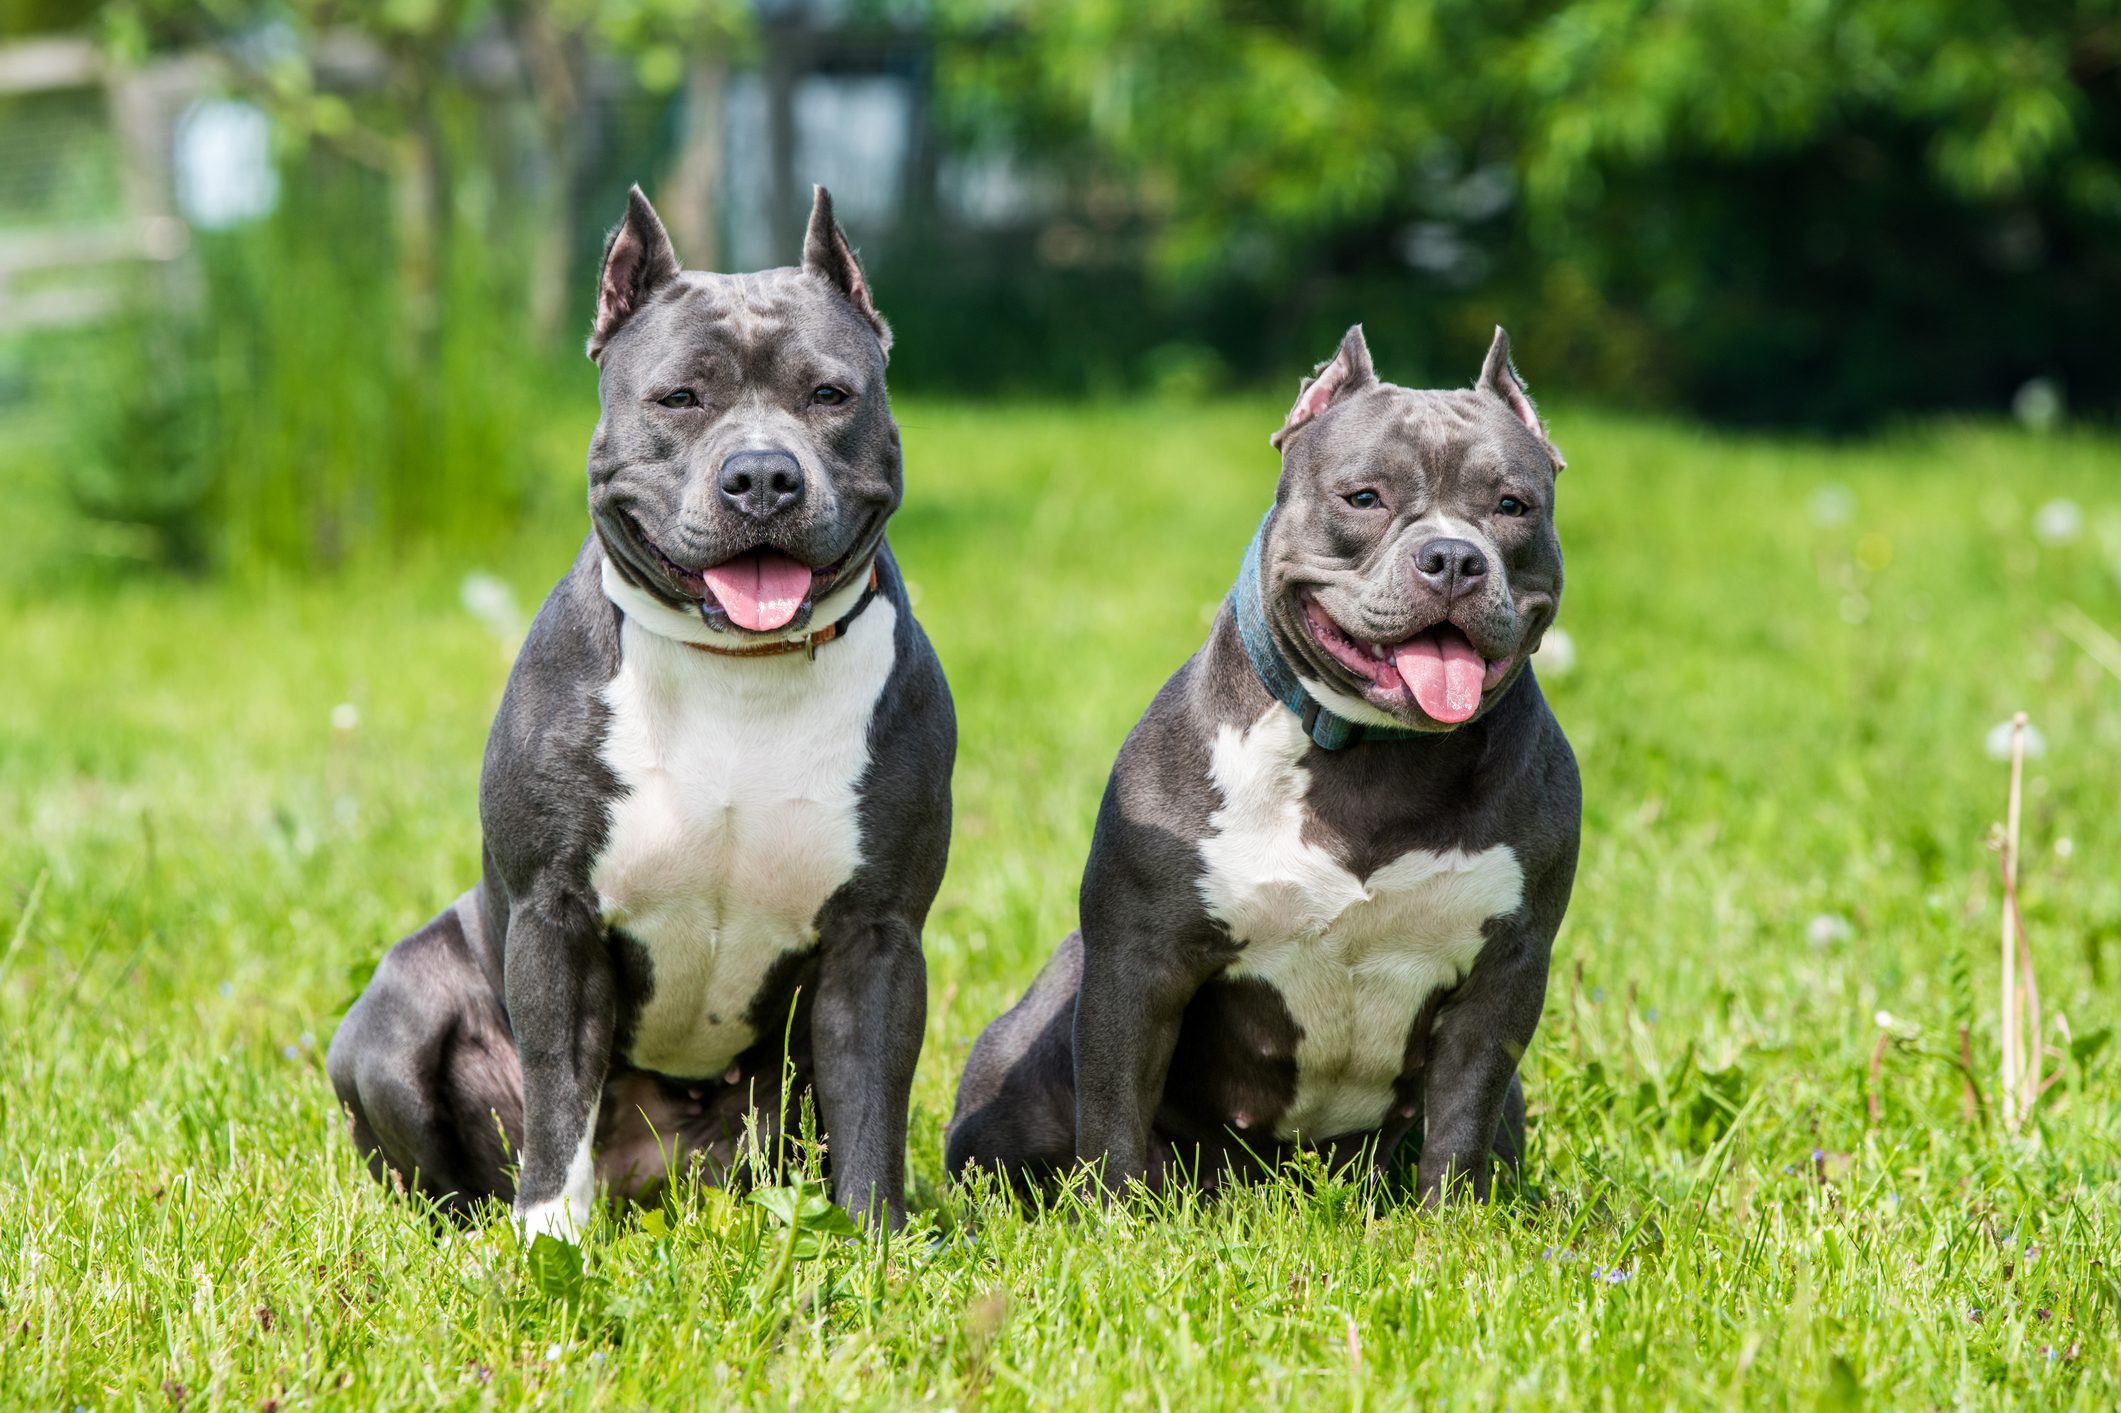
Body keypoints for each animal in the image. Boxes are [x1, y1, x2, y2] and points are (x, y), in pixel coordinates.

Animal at [330, 184, 954, 1230]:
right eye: (679, 398)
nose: (762, 474)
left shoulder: (878, 938)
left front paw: (874, 1239)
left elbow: (872, 1101)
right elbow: (558, 1090)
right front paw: (549, 1236)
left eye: (829, 396)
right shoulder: (556, 918)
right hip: (392, 1012)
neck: (738, 667)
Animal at [945, 326, 1578, 1196]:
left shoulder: (1503, 981)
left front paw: (1448, 1220)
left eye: (1512, 506)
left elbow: (1459, 1126)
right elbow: (1112, 1112)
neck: (1372, 762)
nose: (1453, 557)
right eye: (1363, 498)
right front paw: (1111, 1216)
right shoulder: (1137, 964)